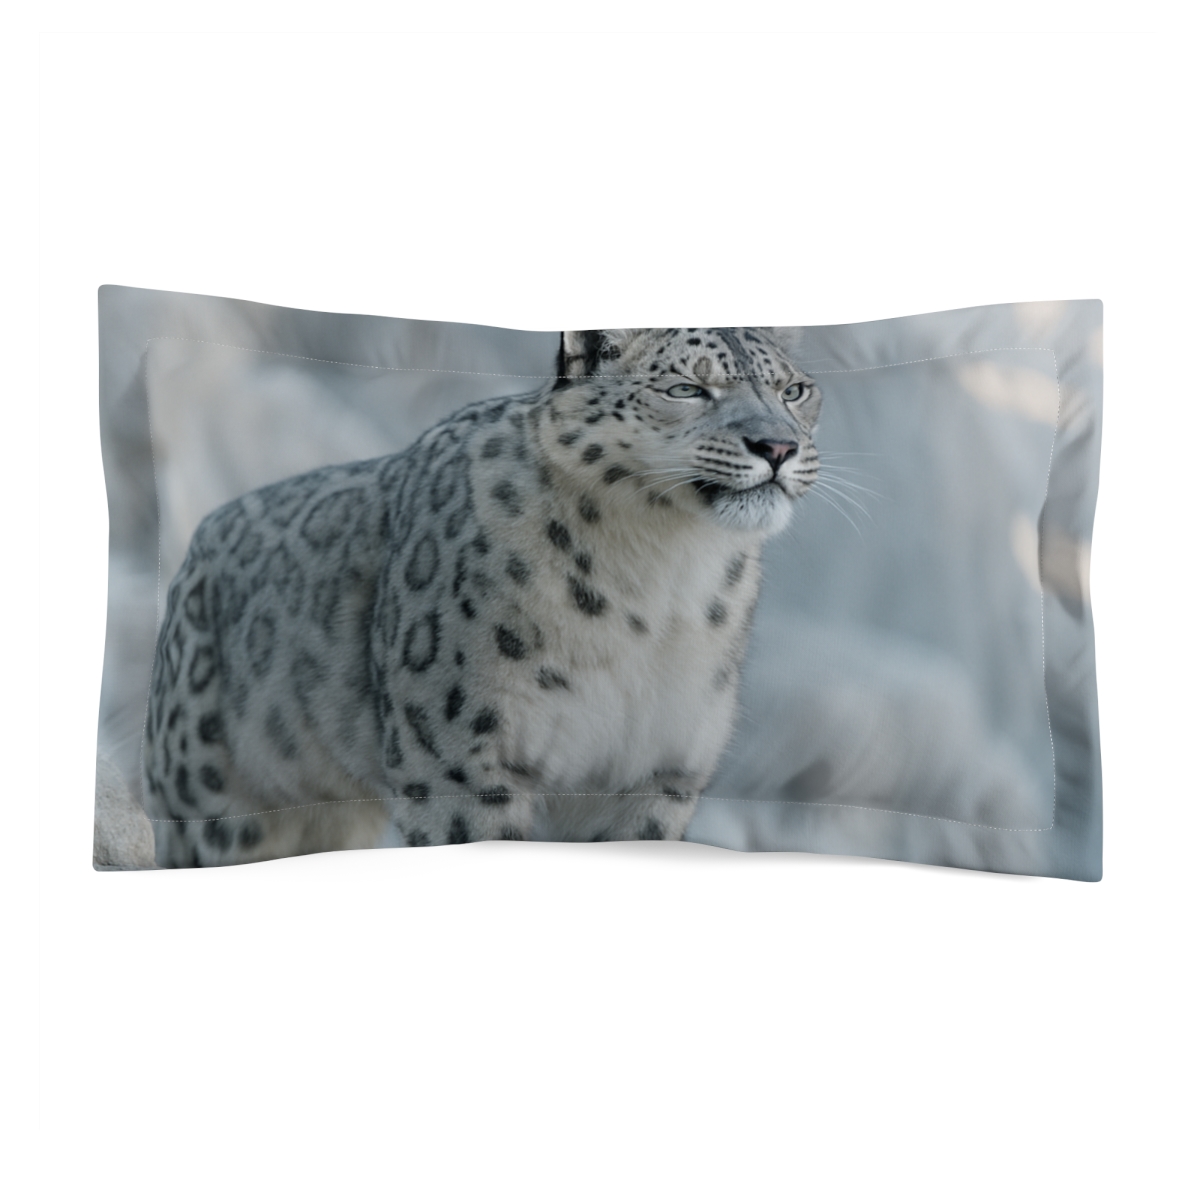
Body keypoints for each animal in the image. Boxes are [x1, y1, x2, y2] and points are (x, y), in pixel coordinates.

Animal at [142, 327, 822, 866]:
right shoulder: (458, 758)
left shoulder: (659, 767)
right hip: (213, 798)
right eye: (685, 389)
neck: (662, 583)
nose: (778, 447)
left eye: (793, 390)